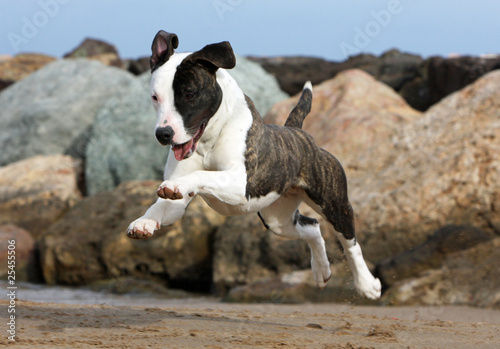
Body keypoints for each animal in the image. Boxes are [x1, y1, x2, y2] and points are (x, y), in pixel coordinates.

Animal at [127, 29, 380, 300]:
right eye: (155, 97)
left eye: (189, 94)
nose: (163, 134)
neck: (208, 139)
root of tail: (299, 133)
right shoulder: (177, 205)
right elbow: (162, 204)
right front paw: (144, 221)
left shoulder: (240, 183)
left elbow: (202, 176)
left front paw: (177, 186)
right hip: (277, 219)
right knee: (312, 227)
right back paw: (321, 271)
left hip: (334, 204)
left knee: (350, 243)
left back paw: (367, 285)